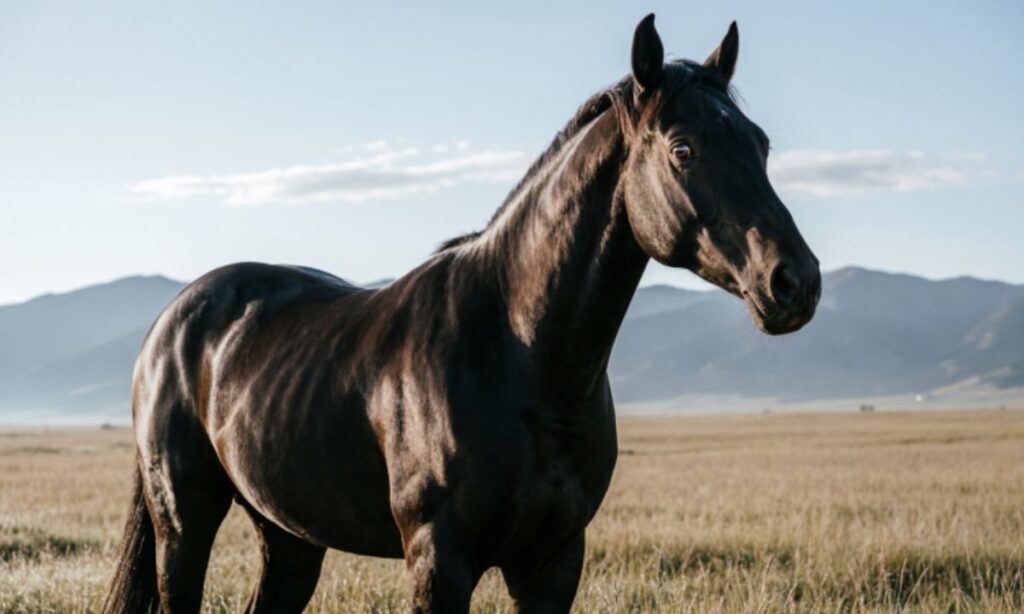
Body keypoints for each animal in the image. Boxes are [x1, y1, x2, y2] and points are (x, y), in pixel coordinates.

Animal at [104, 14, 820, 614]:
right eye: (682, 149)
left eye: (760, 144)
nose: (795, 282)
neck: (519, 354)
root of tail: (174, 321)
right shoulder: (439, 562)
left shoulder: (553, 563)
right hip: (185, 524)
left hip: (288, 532)